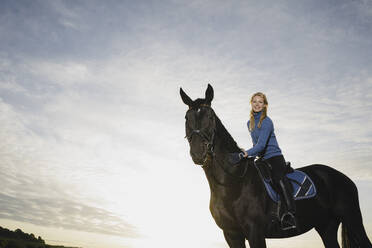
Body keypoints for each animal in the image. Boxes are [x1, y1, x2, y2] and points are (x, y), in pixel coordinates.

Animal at [179, 84, 370, 247]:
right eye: (187, 118)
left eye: (210, 117)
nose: (198, 153)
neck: (232, 183)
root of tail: (342, 177)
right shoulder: (231, 234)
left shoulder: (255, 232)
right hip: (326, 226)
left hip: (353, 220)